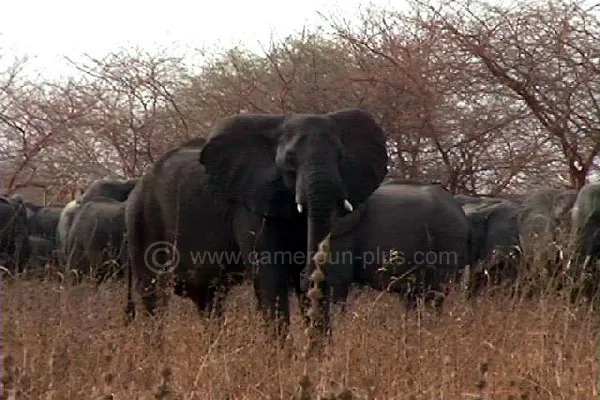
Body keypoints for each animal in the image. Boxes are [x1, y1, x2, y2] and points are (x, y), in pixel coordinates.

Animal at [127, 107, 390, 340]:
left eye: (341, 157)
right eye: (289, 161)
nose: (306, 277)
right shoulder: (248, 203)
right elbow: (269, 276)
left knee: (209, 299)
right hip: (142, 221)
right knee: (155, 295)